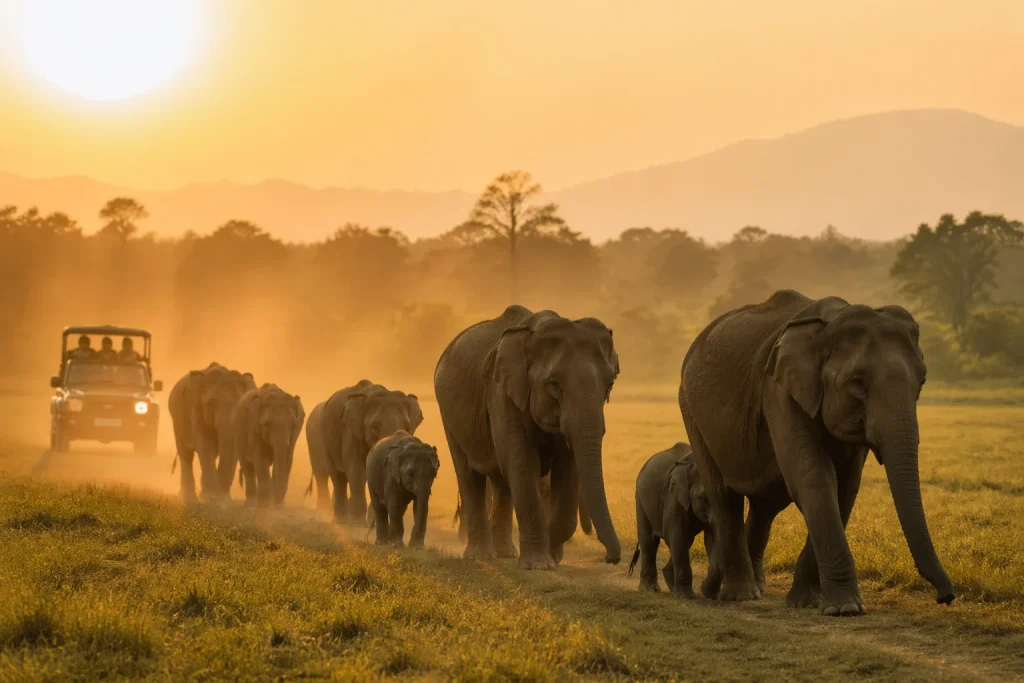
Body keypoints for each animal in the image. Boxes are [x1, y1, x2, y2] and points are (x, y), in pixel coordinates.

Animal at [168, 362, 255, 502]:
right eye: (211, 404)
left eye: (239, 404)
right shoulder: (196, 412)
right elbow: (205, 446)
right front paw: (212, 498)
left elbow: (233, 451)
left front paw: (223, 499)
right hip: (177, 419)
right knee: (186, 454)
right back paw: (189, 497)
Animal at [312, 380, 423, 523]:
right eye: (374, 426)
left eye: (407, 427)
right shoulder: (351, 431)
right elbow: (356, 472)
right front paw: (358, 523)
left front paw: (373, 522)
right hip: (325, 439)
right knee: (338, 478)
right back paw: (341, 521)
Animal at [434, 305, 621, 570]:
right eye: (554, 384)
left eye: (609, 385)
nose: (610, 558)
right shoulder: (501, 392)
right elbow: (522, 462)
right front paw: (539, 565)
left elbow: (568, 469)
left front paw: (552, 554)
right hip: (449, 416)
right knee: (469, 475)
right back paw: (481, 556)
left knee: (502, 481)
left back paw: (506, 553)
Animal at [627, 443, 719, 599]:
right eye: (703, 498)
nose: (702, 585)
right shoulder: (673, 494)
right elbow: (676, 534)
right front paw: (684, 597)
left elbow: (711, 538)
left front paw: (713, 596)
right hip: (640, 498)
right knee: (649, 541)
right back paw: (649, 589)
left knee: (687, 540)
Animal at [679, 289, 955, 615]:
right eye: (857, 382)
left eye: (922, 382)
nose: (946, 596)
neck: (830, 324)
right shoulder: (779, 391)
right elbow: (814, 479)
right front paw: (845, 609)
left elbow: (845, 488)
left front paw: (808, 602)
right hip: (692, 412)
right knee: (723, 495)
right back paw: (740, 595)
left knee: (764, 505)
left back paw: (752, 588)